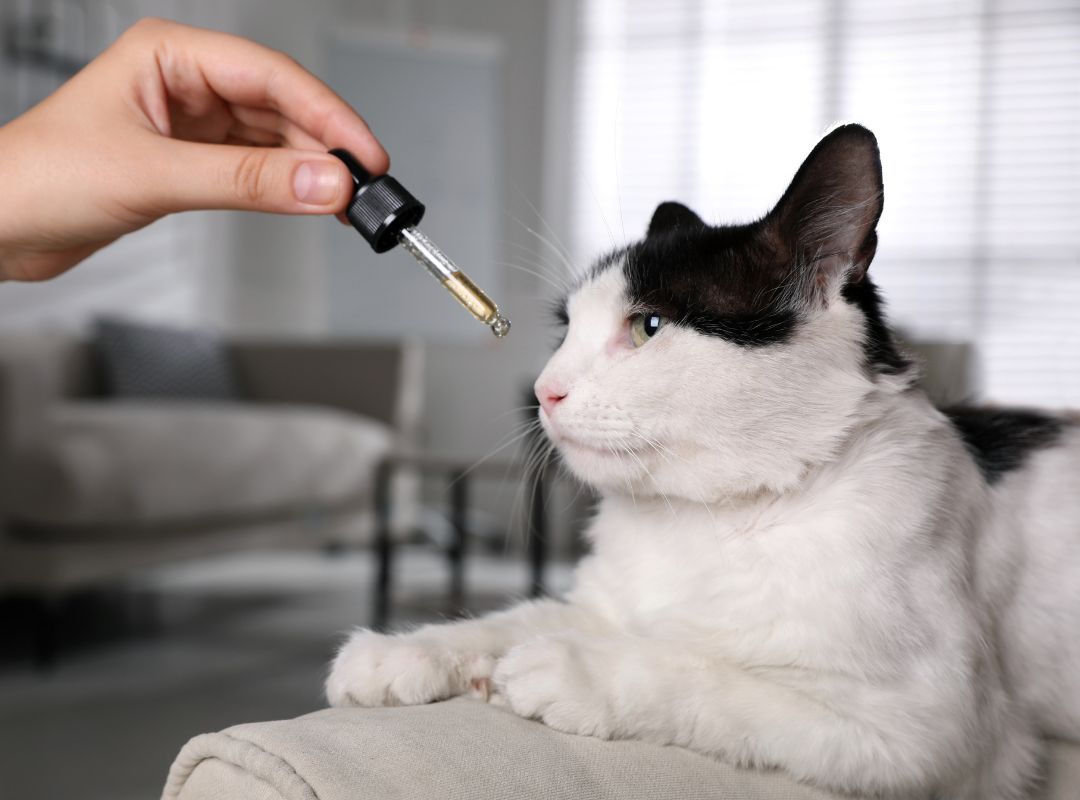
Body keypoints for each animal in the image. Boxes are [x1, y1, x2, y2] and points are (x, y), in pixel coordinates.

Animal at [328, 124, 1080, 798]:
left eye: (648, 327)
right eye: (566, 330)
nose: (543, 390)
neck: (703, 520)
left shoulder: (933, 735)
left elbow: (708, 673)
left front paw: (576, 670)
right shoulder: (603, 603)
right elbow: (521, 615)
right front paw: (405, 651)